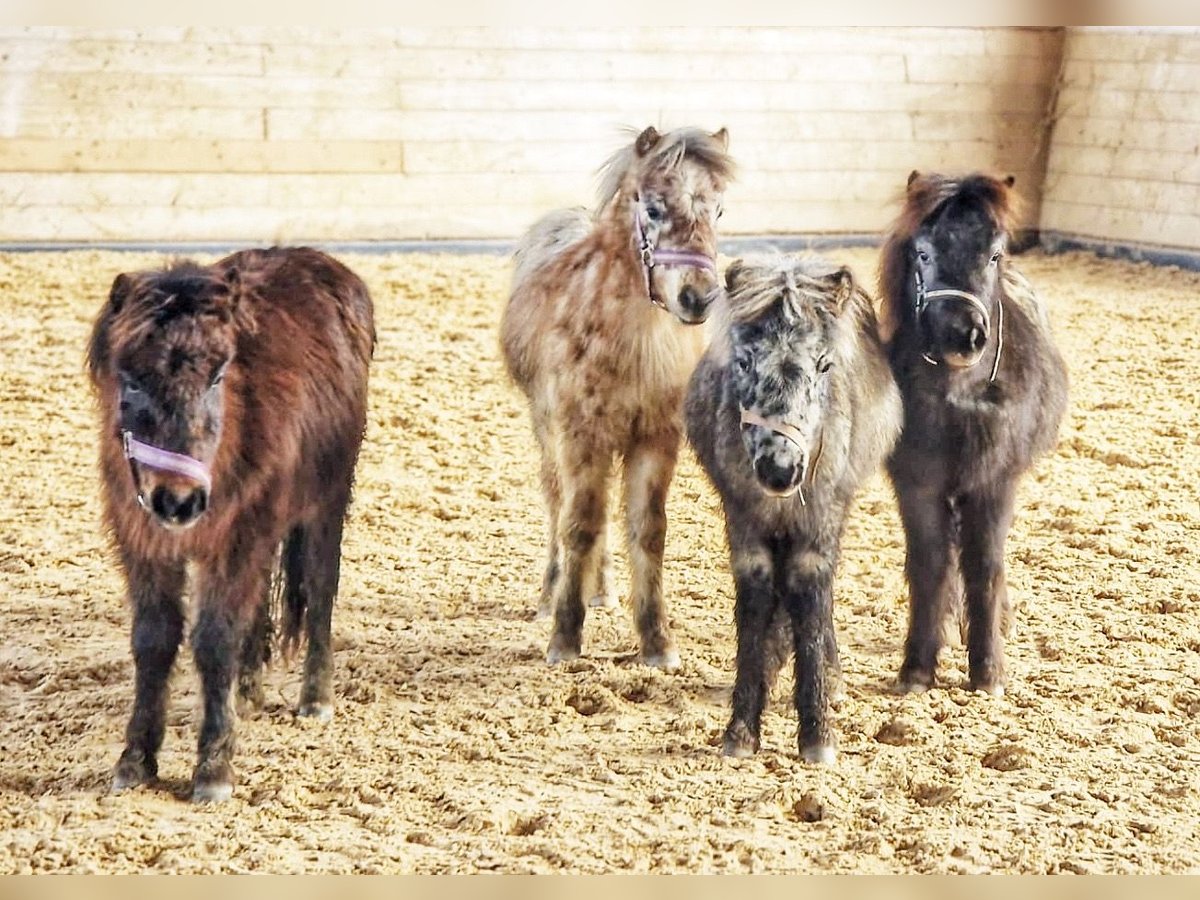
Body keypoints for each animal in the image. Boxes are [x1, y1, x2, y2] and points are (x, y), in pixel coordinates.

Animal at [87, 244, 374, 801]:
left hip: (326, 499)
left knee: (321, 589)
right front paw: (135, 761)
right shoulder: (144, 540)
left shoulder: (238, 538)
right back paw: (247, 692)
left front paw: (213, 769)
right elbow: (154, 640)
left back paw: (315, 699)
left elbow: (214, 639)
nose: (178, 501)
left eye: (218, 377)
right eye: (130, 381)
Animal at [686, 256, 902, 763]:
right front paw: (742, 730)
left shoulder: (818, 523)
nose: (780, 469)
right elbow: (755, 604)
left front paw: (818, 734)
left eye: (824, 365)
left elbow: (810, 603)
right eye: (744, 360)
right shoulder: (744, 522)